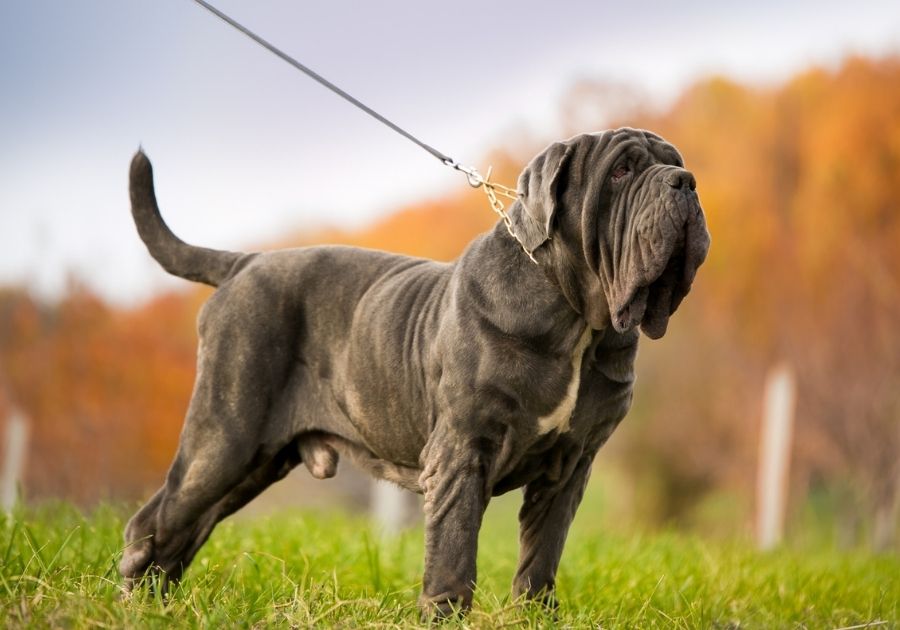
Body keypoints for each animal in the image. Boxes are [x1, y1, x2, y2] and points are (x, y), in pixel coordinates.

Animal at [118, 127, 712, 616]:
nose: (685, 181)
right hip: (225, 437)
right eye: (622, 171)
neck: (578, 320)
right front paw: (444, 614)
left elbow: (540, 557)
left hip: (253, 461)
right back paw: (133, 603)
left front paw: (534, 615)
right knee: (153, 523)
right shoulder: (463, 451)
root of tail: (245, 262)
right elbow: (453, 549)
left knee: (183, 531)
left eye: (675, 162)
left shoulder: (570, 466)